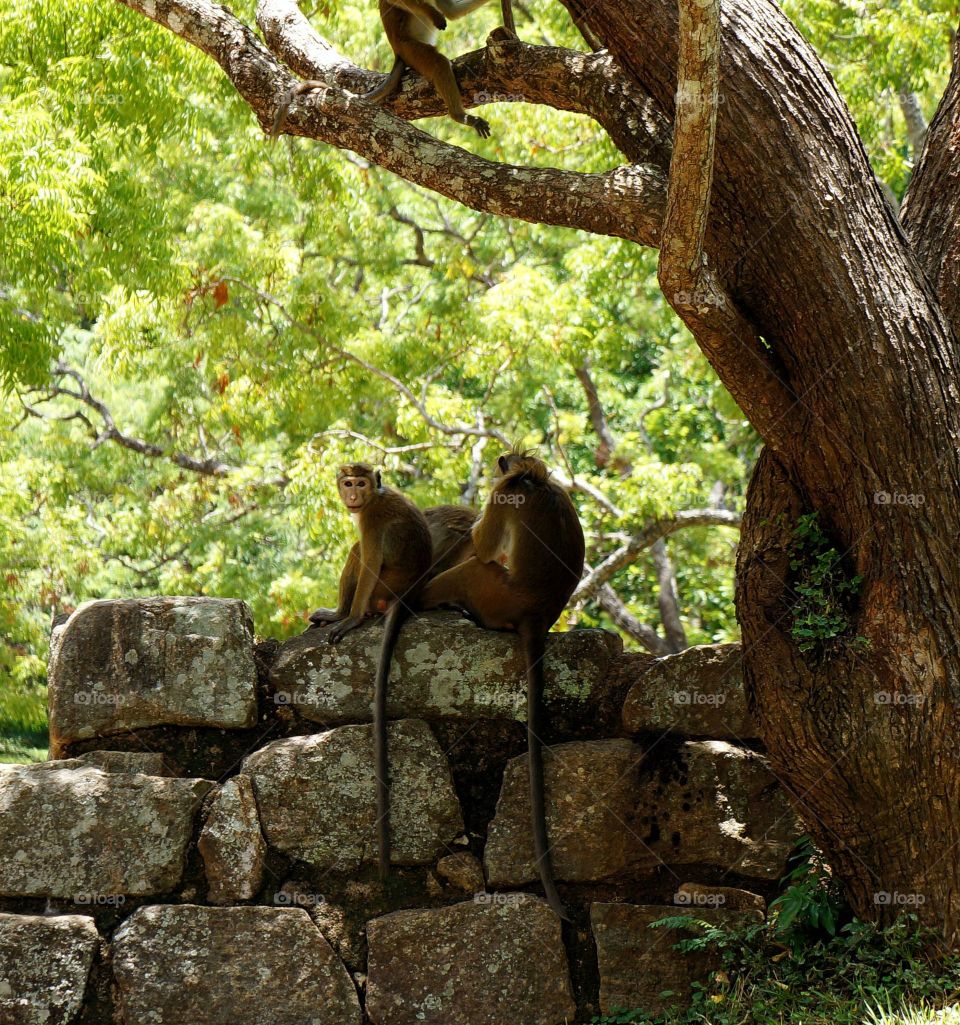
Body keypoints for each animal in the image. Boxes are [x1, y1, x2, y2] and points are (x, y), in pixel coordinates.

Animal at [270, 0, 516, 141]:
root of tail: (397, 51)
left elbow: (451, 10)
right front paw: (434, 15)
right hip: (411, 49)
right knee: (437, 63)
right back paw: (460, 116)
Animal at [307, 461, 430, 877]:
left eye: (360, 483)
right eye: (348, 482)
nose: (353, 494)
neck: (374, 498)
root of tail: (406, 598)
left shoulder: (373, 520)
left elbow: (371, 558)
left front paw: (352, 619)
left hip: (383, 589)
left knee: (362, 553)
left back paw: (346, 615)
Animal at [420, 451, 586, 922]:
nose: (500, 461)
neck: (535, 481)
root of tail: (537, 618)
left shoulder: (503, 493)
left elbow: (482, 545)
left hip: (493, 591)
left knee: (478, 564)